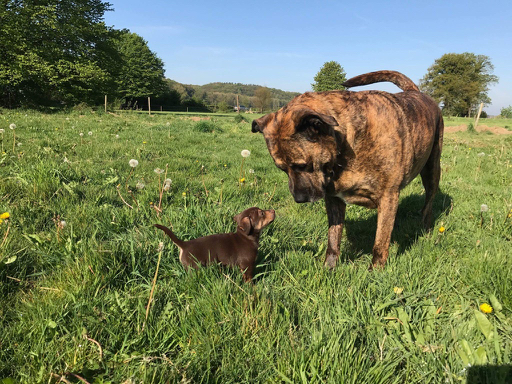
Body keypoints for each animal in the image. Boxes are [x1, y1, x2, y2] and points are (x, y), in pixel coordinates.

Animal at [252, 70, 444, 268]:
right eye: (282, 169)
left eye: (302, 165)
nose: (299, 199)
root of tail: (416, 92)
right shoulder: (333, 199)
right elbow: (333, 238)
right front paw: (328, 268)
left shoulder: (388, 196)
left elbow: (380, 242)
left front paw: (376, 271)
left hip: (432, 170)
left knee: (428, 202)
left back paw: (426, 228)